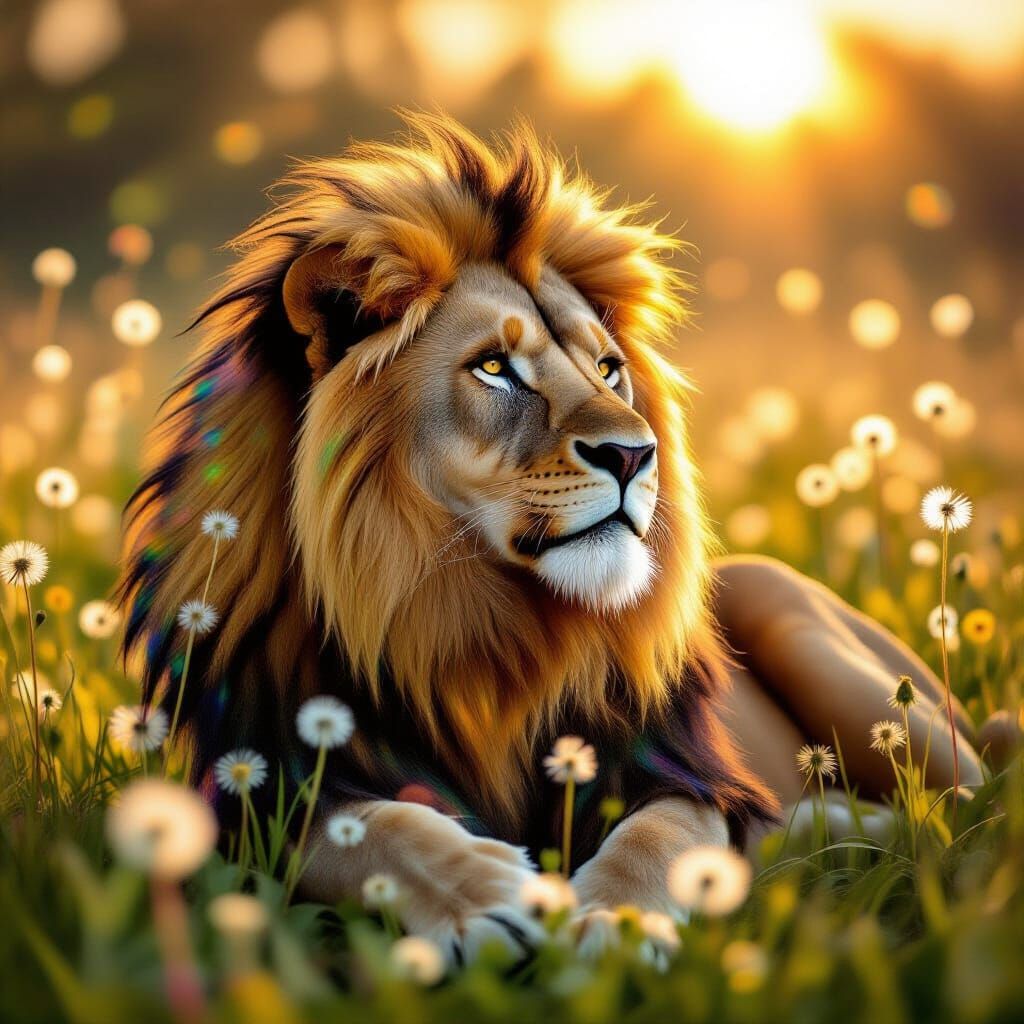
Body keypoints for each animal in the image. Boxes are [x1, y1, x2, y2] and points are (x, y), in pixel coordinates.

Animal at [120, 113, 980, 960]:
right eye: (494, 368)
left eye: (606, 368)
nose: (635, 454)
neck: (465, 617)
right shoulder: (258, 790)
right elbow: (369, 826)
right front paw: (484, 900)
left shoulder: (679, 770)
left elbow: (660, 836)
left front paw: (615, 923)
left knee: (973, 799)